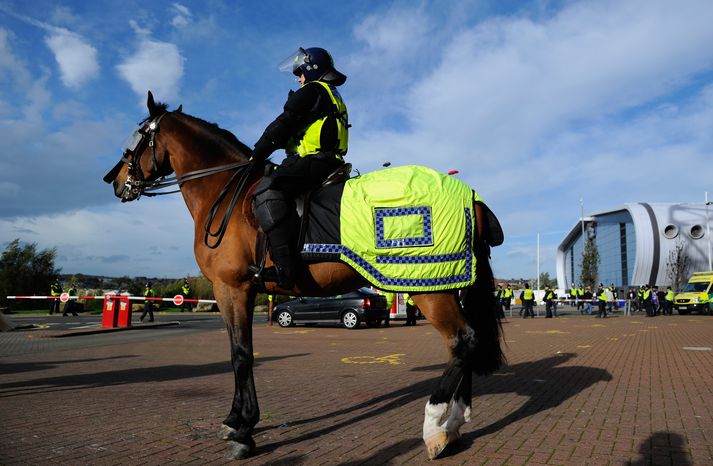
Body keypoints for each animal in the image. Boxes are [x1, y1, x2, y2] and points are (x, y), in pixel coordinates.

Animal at [104, 91, 506, 458]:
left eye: (137, 136)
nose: (113, 179)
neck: (224, 192)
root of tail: (471, 195)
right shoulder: (237, 290)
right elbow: (238, 351)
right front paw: (236, 420)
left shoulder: (231, 287)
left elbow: (241, 354)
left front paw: (244, 430)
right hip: (450, 282)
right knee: (467, 341)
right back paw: (455, 422)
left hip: (428, 286)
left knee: (462, 340)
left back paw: (435, 426)